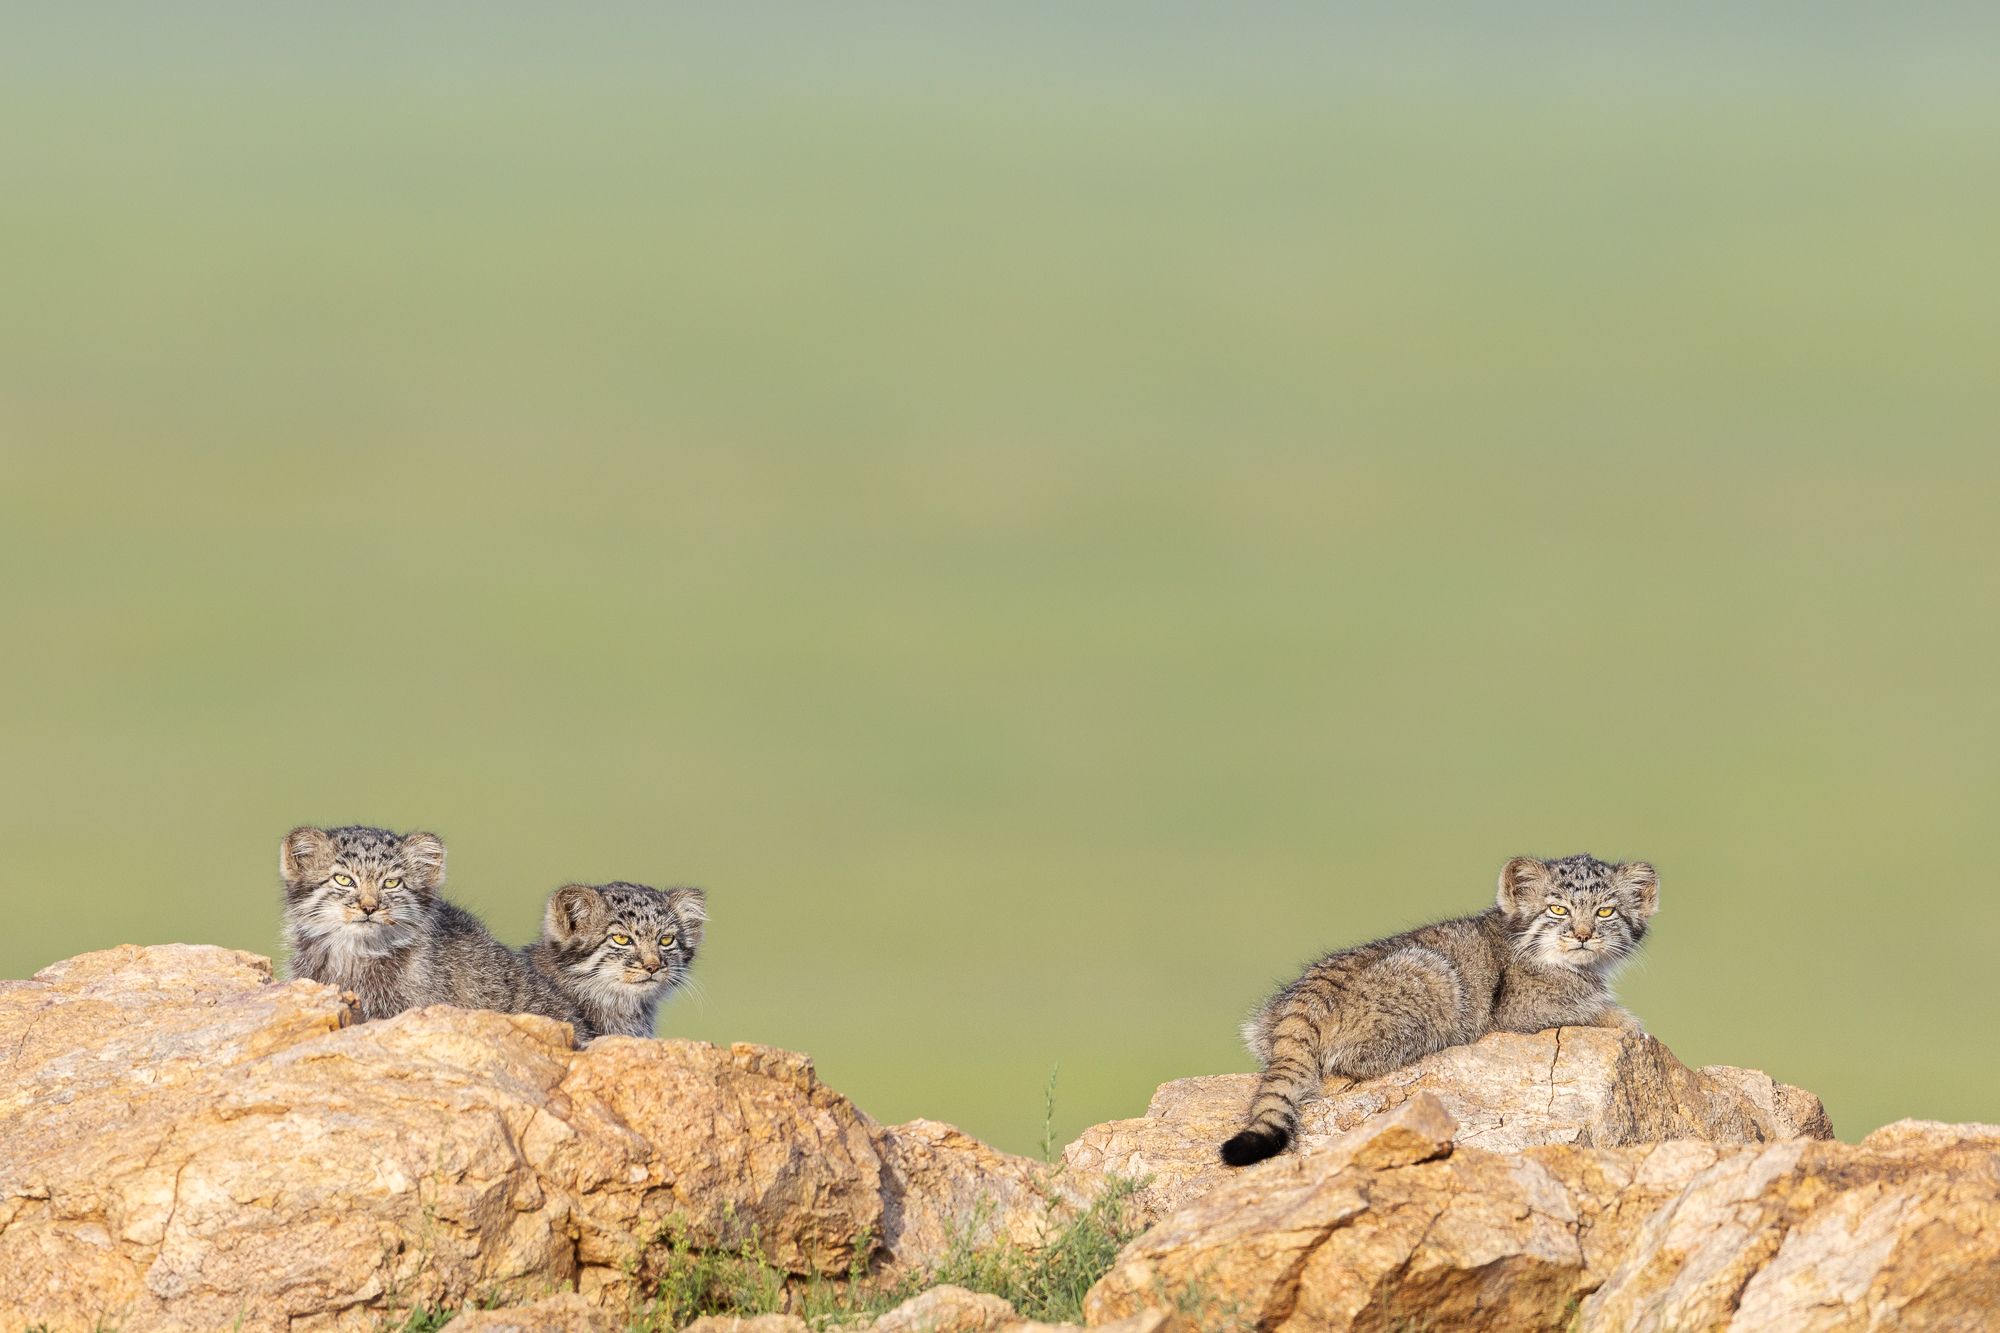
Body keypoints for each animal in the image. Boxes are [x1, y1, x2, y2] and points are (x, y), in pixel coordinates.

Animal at [1216, 852, 1656, 1160]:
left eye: (1605, 911)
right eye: (1558, 909)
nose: (1583, 935)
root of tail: (1309, 995)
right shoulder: (1525, 1007)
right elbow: (1599, 1010)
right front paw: (1629, 1021)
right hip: (1435, 977)